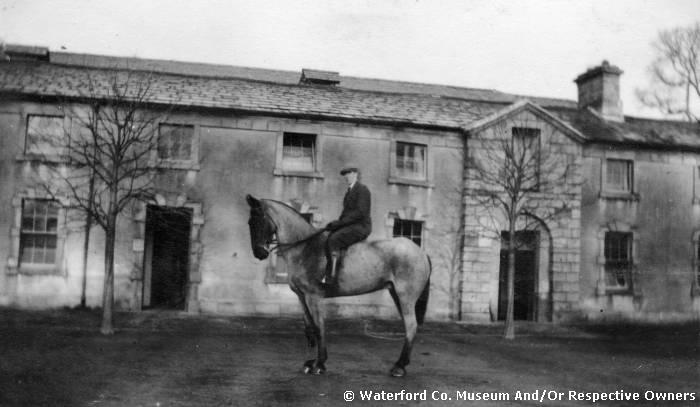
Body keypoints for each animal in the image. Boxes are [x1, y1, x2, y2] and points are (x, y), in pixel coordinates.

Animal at [246, 195, 431, 377]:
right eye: (249, 223)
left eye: (259, 220)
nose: (259, 253)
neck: (304, 247)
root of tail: (420, 252)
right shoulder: (301, 297)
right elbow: (310, 326)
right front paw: (311, 362)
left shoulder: (313, 296)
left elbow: (319, 327)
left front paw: (319, 364)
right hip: (396, 294)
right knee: (408, 326)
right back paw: (401, 364)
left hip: (406, 297)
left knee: (411, 325)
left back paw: (399, 367)